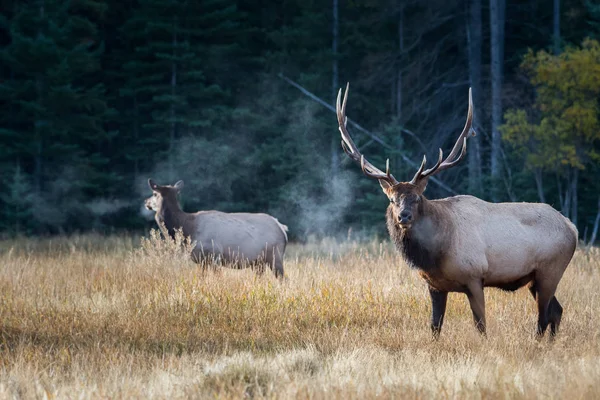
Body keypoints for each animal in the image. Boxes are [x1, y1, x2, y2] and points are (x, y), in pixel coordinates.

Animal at [143, 180, 288, 278]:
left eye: (154, 193)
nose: (146, 202)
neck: (187, 229)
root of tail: (282, 228)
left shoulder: (213, 256)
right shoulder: (203, 261)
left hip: (275, 255)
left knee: (283, 278)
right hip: (258, 262)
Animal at [338, 83, 576, 338]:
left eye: (417, 198)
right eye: (392, 200)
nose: (404, 216)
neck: (436, 253)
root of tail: (572, 227)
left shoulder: (475, 277)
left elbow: (481, 326)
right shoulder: (434, 285)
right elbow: (435, 326)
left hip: (550, 269)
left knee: (543, 317)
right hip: (535, 278)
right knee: (557, 311)